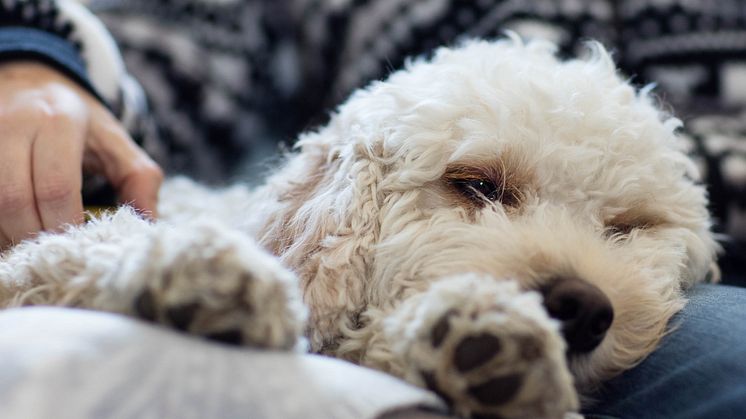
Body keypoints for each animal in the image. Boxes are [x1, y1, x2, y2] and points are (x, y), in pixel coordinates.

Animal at [0, 37, 716, 418]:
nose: (584, 307)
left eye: (627, 226)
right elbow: (79, 251)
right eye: (478, 185)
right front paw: (200, 272)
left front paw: (486, 353)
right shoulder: (27, 267)